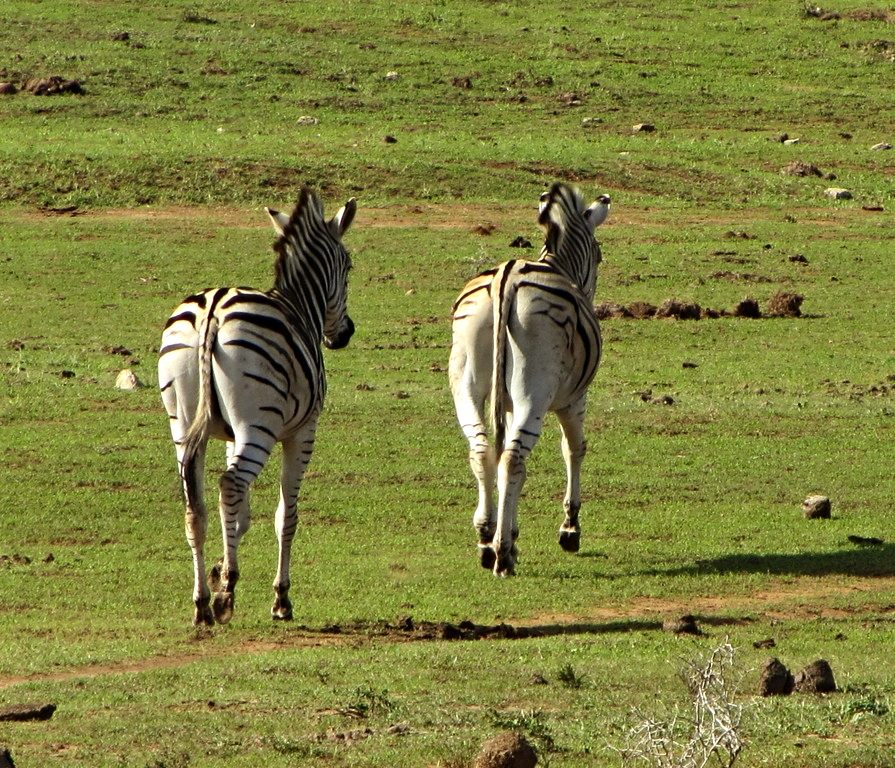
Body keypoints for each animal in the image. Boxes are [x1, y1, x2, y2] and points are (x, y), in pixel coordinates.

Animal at [158, 188, 357, 625]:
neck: (300, 304)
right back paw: (226, 596)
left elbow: (242, 515)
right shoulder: (302, 431)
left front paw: (218, 569)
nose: (345, 334)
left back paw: (201, 603)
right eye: (349, 267)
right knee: (230, 485)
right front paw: (280, 597)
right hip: (260, 427)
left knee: (196, 502)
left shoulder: (231, 435)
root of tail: (212, 311)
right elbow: (286, 515)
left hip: (184, 423)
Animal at [448, 182, 610, 576]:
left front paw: (511, 529)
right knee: (512, 459)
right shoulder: (574, 399)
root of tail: (507, 278)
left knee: (484, 451)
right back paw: (502, 554)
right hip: (534, 391)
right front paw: (570, 529)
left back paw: (486, 539)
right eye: (599, 256)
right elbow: (574, 449)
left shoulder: (506, 404)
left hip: (468, 385)